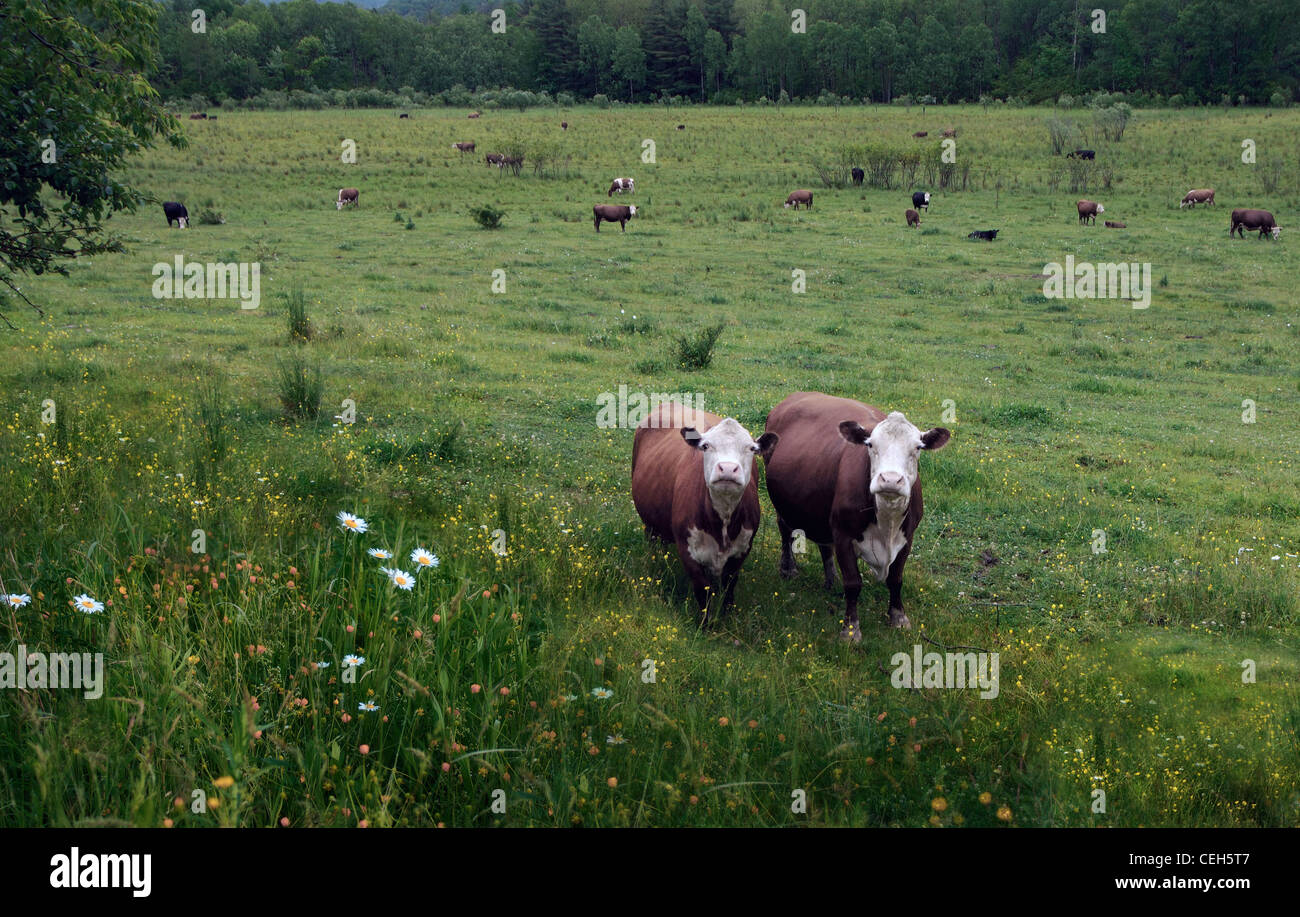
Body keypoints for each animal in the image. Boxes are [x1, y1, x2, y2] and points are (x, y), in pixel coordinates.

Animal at [631, 403, 774, 621]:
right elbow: (702, 592)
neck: (722, 521)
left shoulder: (742, 549)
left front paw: (727, 619)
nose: (727, 468)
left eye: (751, 448)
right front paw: (705, 625)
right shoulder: (688, 550)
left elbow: (729, 588)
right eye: (706, 446)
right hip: (650, 524)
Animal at [759, 390, 956, 639]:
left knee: (824, 544)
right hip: (783, 504)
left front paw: (899, 618)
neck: (887, 524)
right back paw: (788, 568)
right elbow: (853, 583)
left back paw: (831, 578)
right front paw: (851, 630)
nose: (890, 480)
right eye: (870, 445)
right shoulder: (843, 534)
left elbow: (896, 579)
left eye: (918, 448)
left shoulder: (907, 537)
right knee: (785, 529)